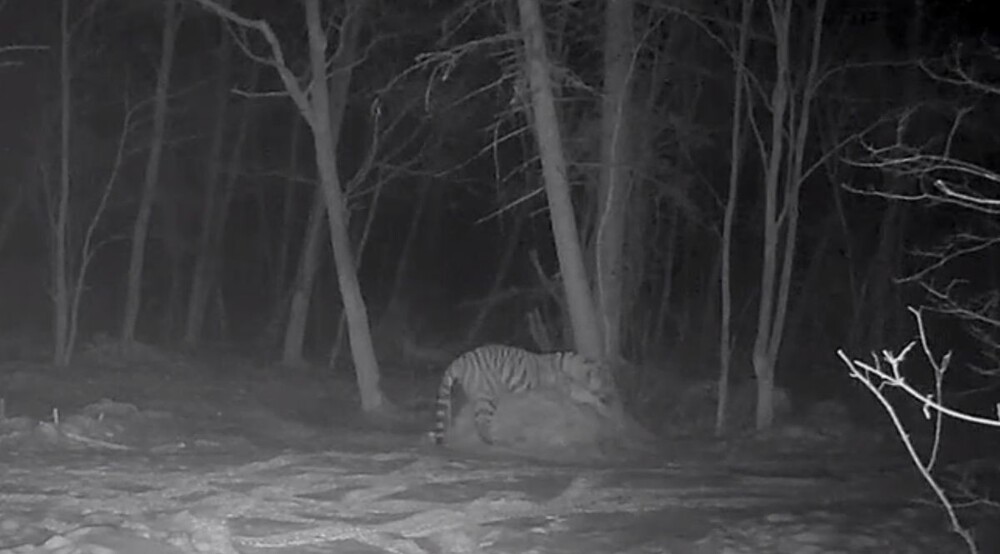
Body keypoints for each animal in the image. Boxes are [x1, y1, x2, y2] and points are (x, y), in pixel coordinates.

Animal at [430, 344, 617, 445]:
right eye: (605, 379)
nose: (610, 388)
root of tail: (461, 359)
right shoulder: (567, 389)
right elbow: (583, 395)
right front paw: (605, 408)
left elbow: (589, 396)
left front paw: (604, 408)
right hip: (488, 395)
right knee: (481, 421)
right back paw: (493, 441)